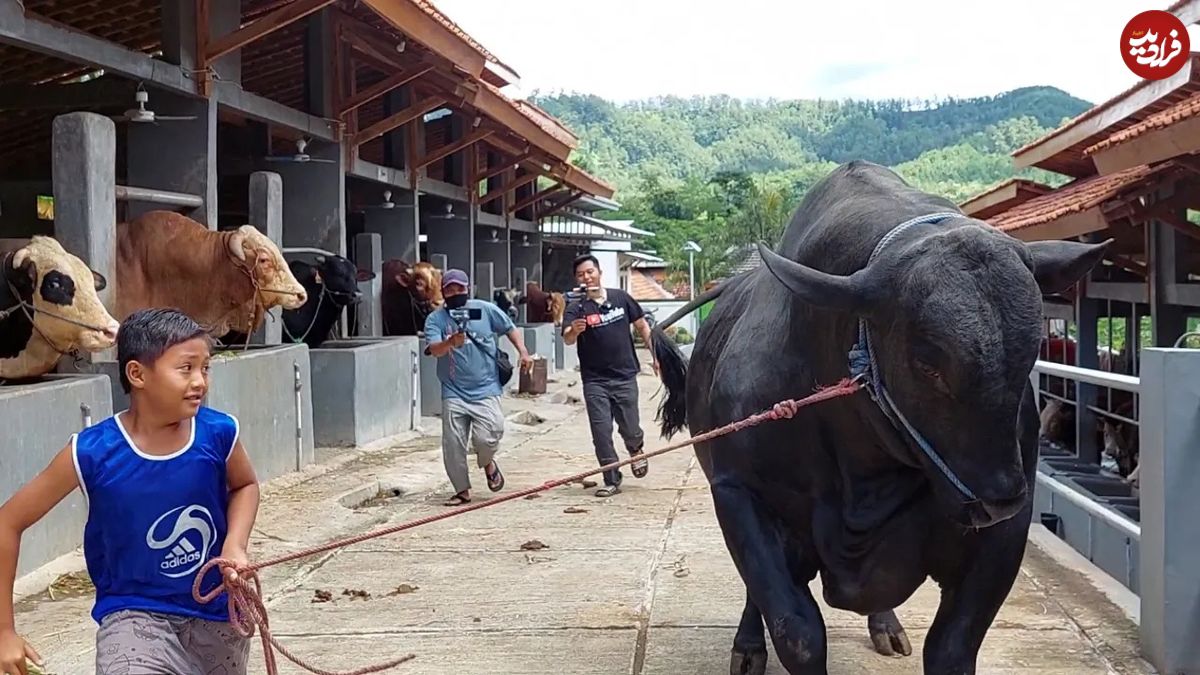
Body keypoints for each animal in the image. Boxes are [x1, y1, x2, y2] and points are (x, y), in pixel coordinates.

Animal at [648, 162, 1104, 672]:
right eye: (928, 363)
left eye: (1031, 353)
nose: (997, 497)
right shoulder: (738, 493)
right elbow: (795, 629)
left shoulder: (1002, 535)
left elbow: (952, 646)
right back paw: (748, 648)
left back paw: (886, 626)